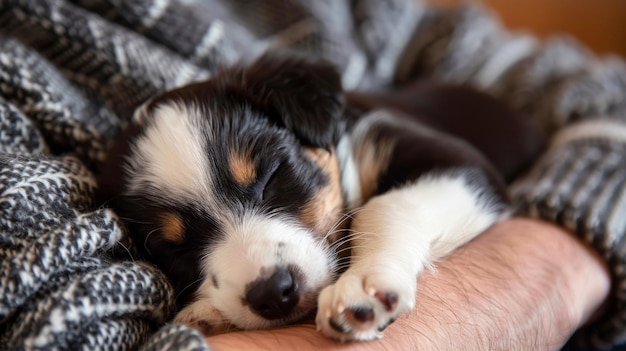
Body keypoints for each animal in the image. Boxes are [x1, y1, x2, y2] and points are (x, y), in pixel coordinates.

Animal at [96, 53, 540, 342]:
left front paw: (364, 286)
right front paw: (208, 312)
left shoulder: (465, 164)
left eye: (271, 177)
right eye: (174, 248)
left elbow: (383, 205)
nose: (273, 294)